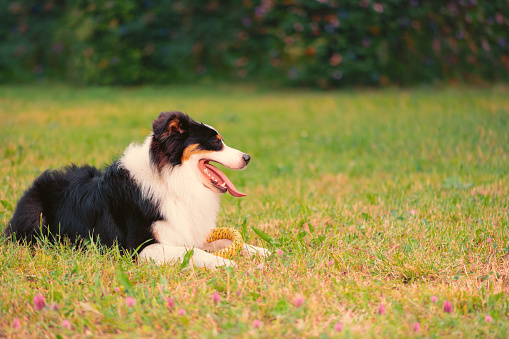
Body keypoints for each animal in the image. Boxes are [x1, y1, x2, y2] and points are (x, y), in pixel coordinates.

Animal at [3, 113, 270, 270]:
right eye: (216, 142)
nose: (247, 157)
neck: (172, 181)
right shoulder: (140, 247)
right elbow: (192, 251)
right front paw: (224, 263)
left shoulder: (186, 227)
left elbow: (222, 240)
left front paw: (260, 250)